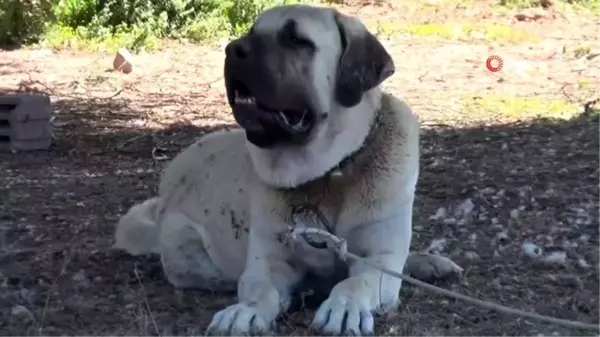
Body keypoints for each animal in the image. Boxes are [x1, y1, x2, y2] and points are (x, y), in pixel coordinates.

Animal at [112, 3, 460, 334]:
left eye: (296, 41)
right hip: (181, 240)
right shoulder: (266, 262)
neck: (328, 176)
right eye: (251, 33)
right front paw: (247, 311)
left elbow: (355, 282)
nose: (233, 49)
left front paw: (344, 308)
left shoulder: (379, 258)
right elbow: (261, 290)